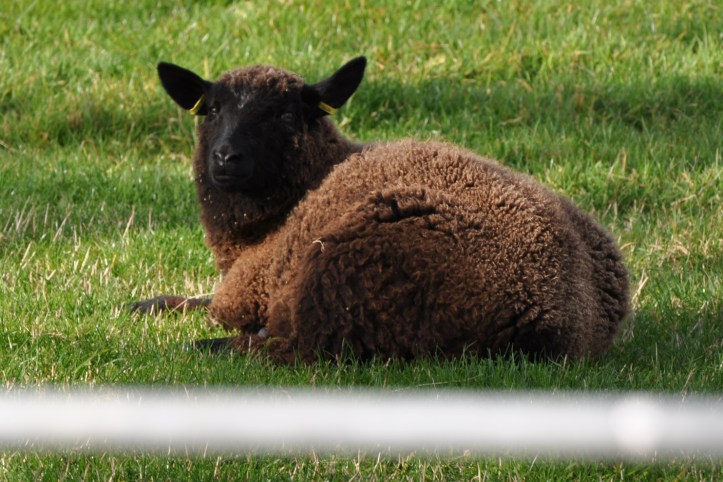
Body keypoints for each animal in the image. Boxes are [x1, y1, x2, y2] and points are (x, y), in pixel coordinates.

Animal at [132, 56, 629, 363]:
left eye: (286, 116)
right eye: (211, 110)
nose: (226, 158)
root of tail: (550, 321)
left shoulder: (252, 283)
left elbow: (215, 302)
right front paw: (149, 303)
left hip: (344, 270)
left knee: (302, 349)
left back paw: (209, 347)